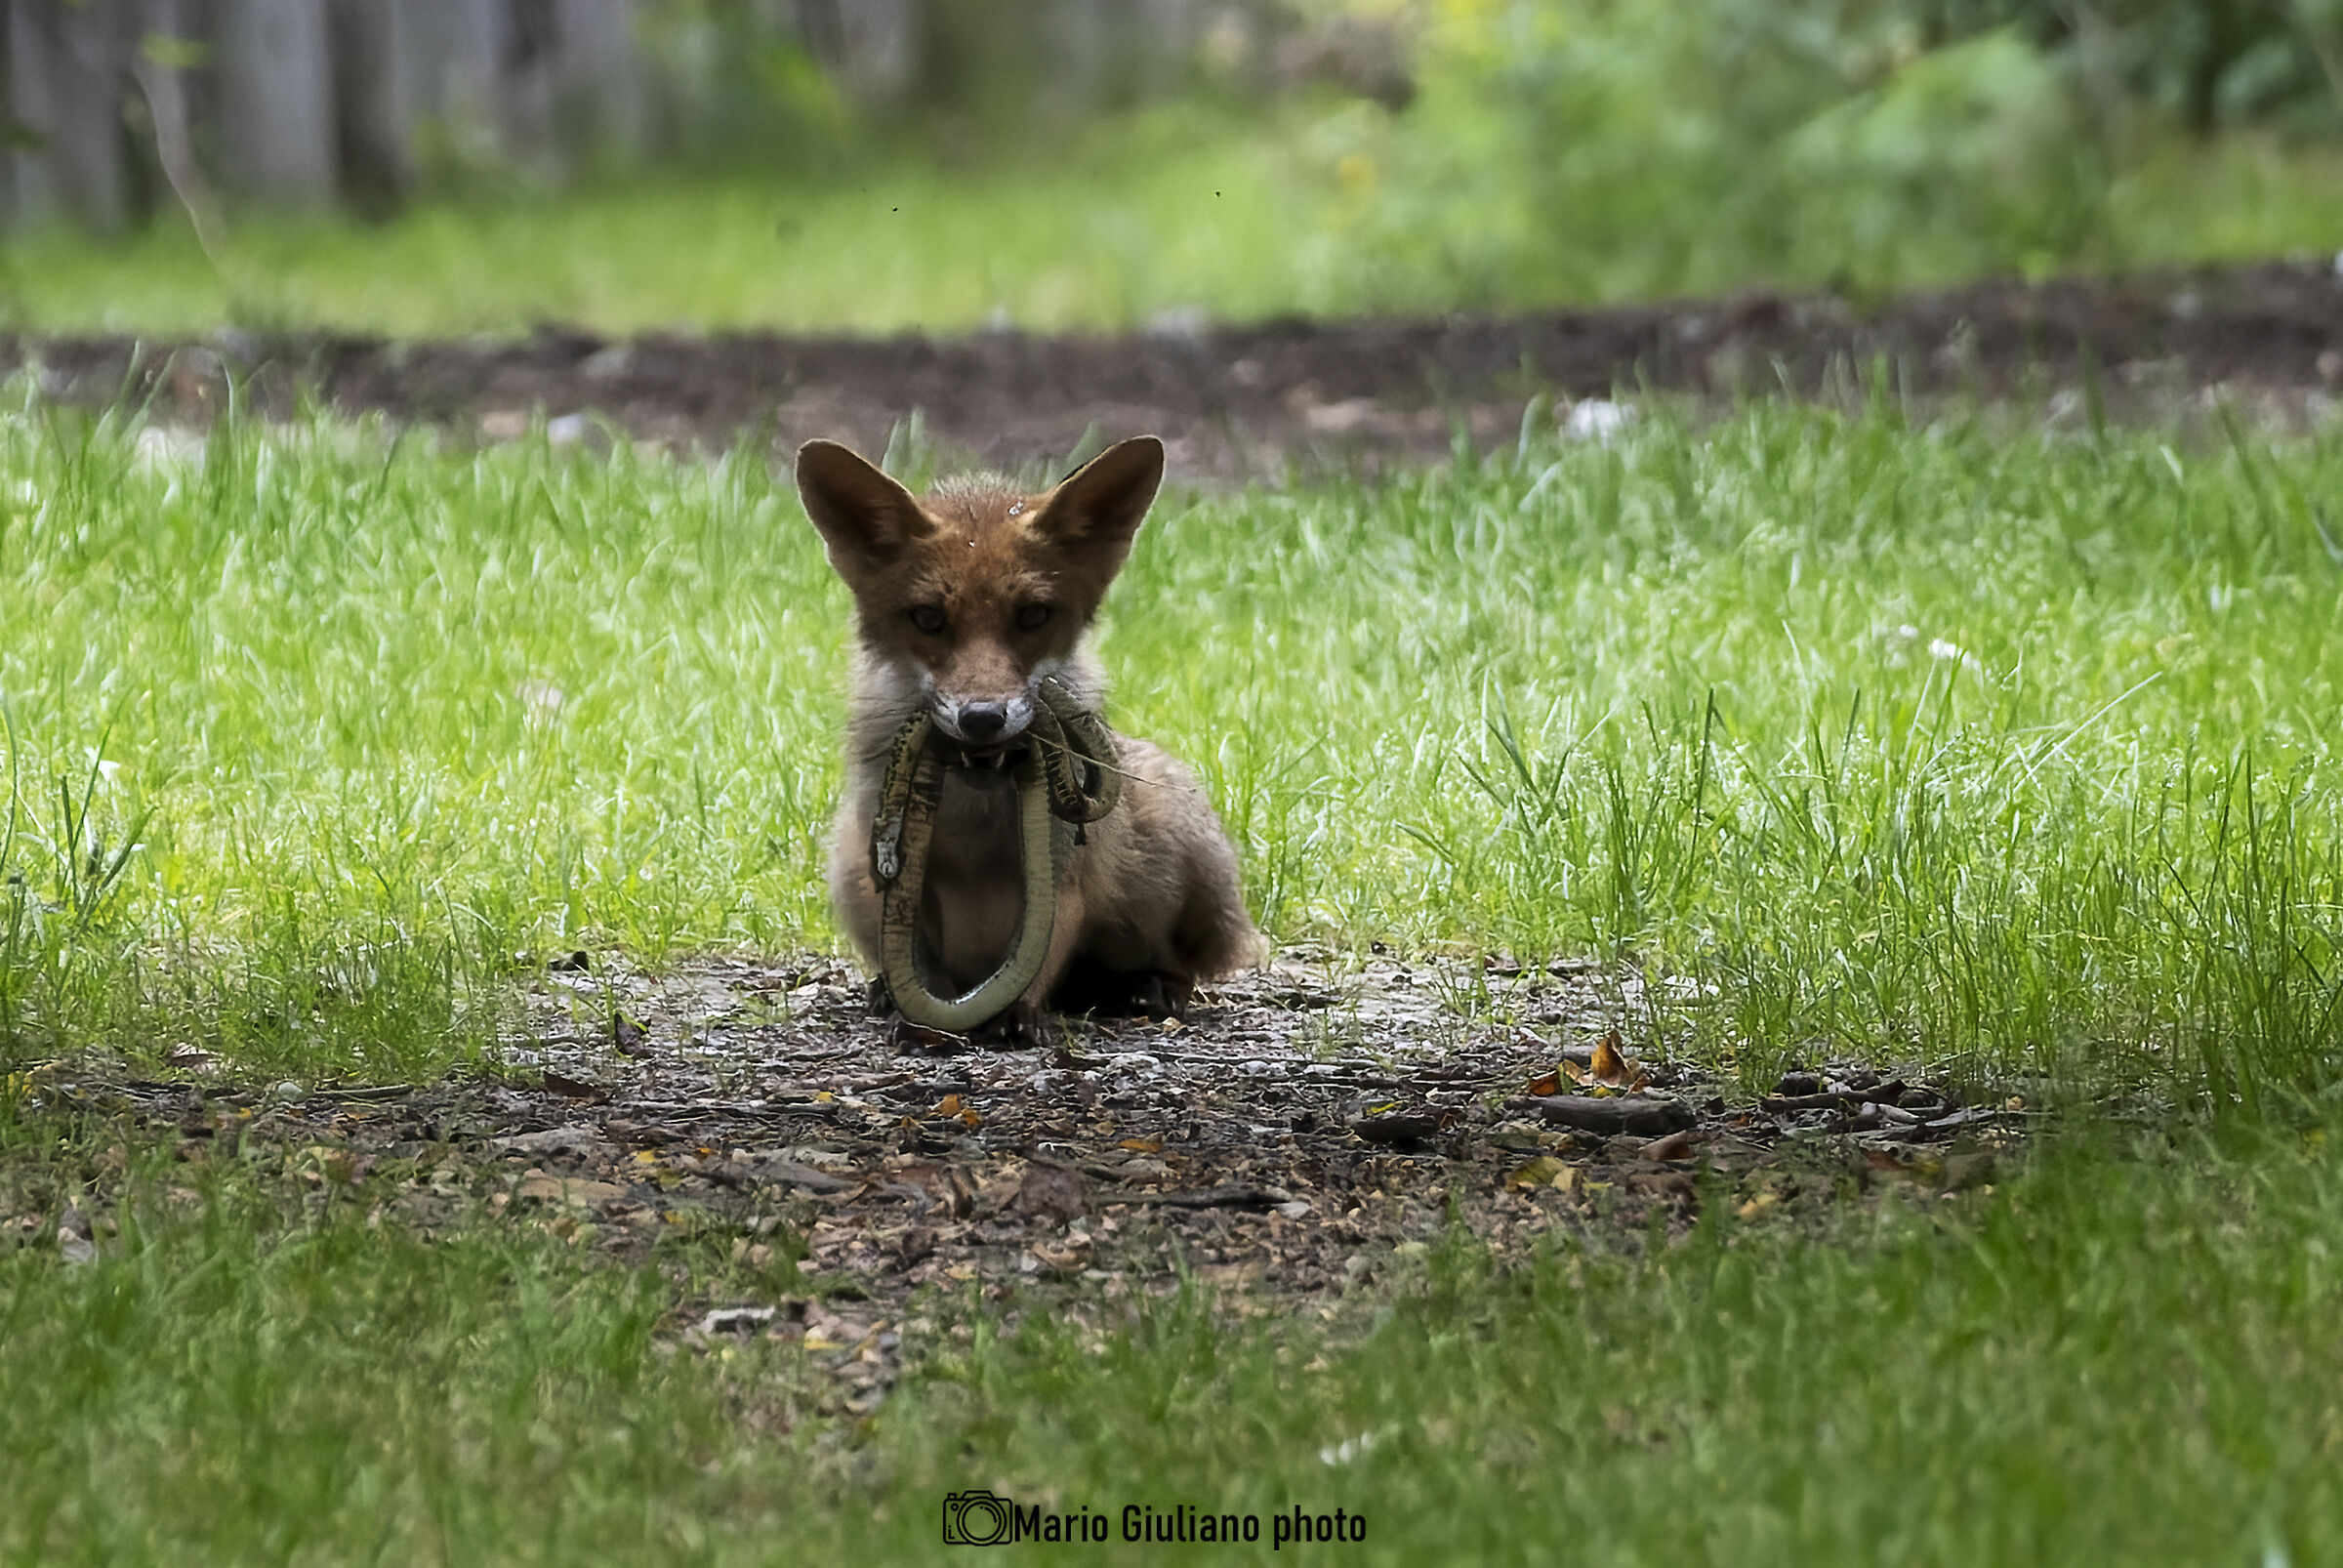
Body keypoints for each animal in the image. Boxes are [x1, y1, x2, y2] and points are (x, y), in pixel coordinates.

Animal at [796, 434, 1260, 1040]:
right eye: (928, 618)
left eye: (1034, 614)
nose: (982, 717)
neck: (973, 820)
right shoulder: (889, 876)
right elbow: (918, 964)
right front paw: (920, 1020)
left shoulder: (1065, 872)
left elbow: (1044, 949)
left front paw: (1018, 1015)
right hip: (845, 863)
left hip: (1175, 837)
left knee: (1178, 963)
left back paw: (1149, 987)